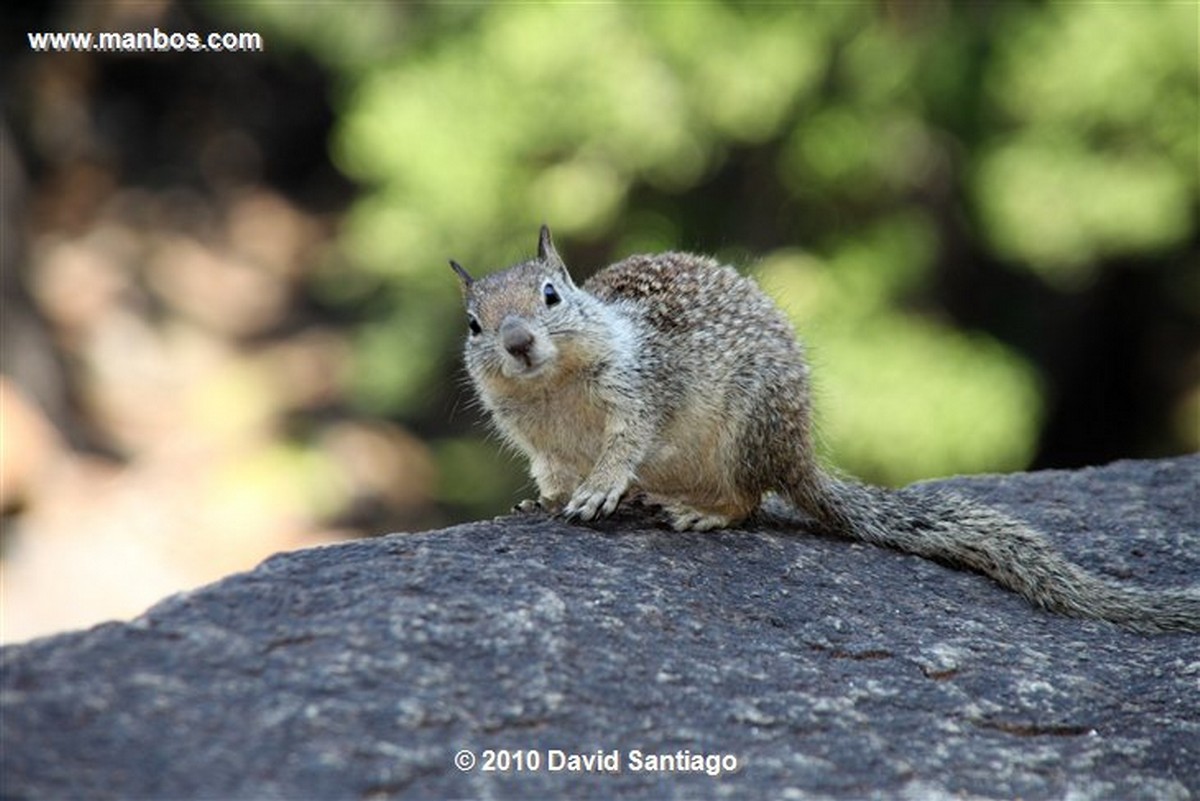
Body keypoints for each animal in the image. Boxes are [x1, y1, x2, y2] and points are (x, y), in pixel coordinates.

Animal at [448, 224, 1200, 633]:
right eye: (474, 324)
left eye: (551, 295)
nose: (517, 342)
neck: (553, 393)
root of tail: (798, 454)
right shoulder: (538, 443)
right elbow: (549, 473)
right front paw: (542, 500)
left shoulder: (640, 392)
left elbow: (625, 443)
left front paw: (602, 486)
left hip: (743, 432)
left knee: (749, 499)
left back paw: (700, 510)